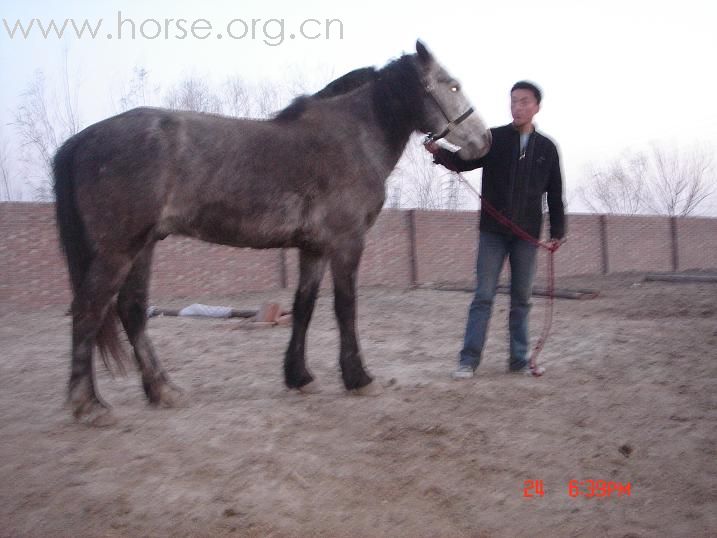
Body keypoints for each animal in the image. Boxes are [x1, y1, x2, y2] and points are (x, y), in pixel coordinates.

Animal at [53, 40, 490, 422]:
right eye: (452, 85)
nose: (483, 140)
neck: (352, 138)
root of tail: (81, 140)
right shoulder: (347, 242)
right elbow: (345, 307)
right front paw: (359, 378)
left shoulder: (314, 248)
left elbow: (304, 307)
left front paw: (299, 377)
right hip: (118, 250)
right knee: (89, 310)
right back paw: (88, 404)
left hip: (142, 246)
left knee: (131, 311)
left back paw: (164, 391)